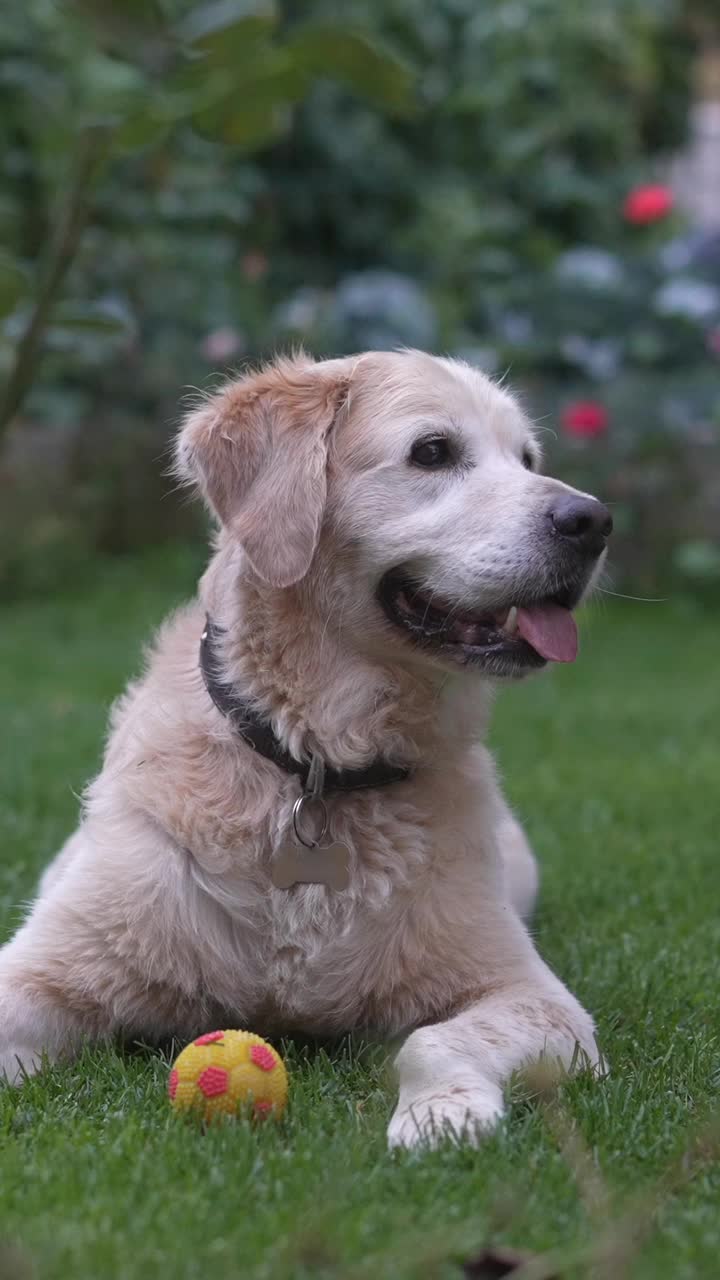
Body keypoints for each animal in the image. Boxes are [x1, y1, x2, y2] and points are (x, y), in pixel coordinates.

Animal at [0, 350, 609, 1152]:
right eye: (433, 451)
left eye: (529, 459)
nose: (593, 521)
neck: (317, 765)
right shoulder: (48, 962)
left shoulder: (536, 996)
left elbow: (435, 1038)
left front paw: (441, 1114)